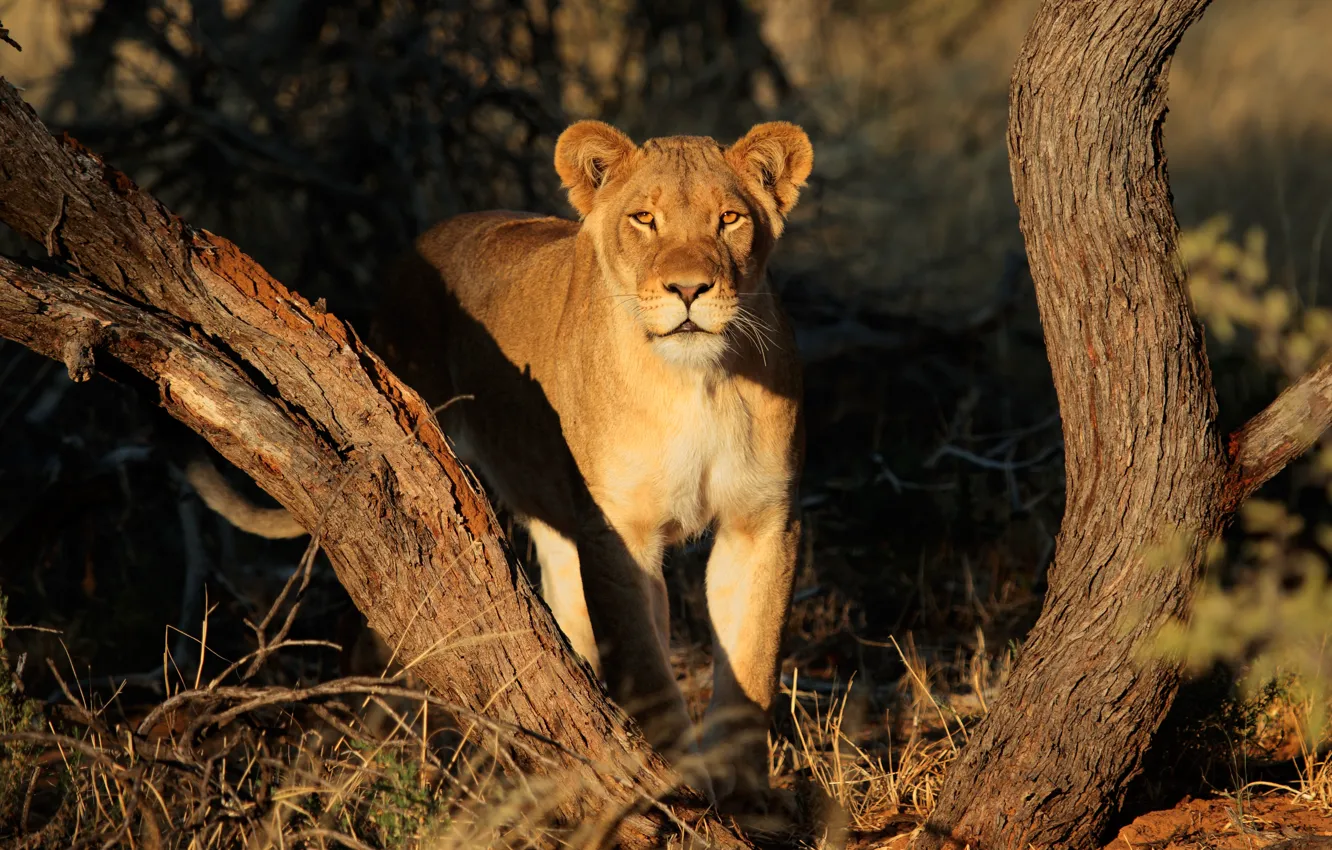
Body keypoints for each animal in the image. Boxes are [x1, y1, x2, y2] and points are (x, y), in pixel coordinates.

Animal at [189, 120, 811, 804]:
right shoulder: (617, 531)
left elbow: (751, 667)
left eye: (729, 218)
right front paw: (674, 789)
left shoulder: (763, 520)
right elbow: (646, 668)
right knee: (369, 644)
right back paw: (367, 753)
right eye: (644, 219)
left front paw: (746, 796)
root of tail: (414, 250)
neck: (698, 383)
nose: (690, 289)